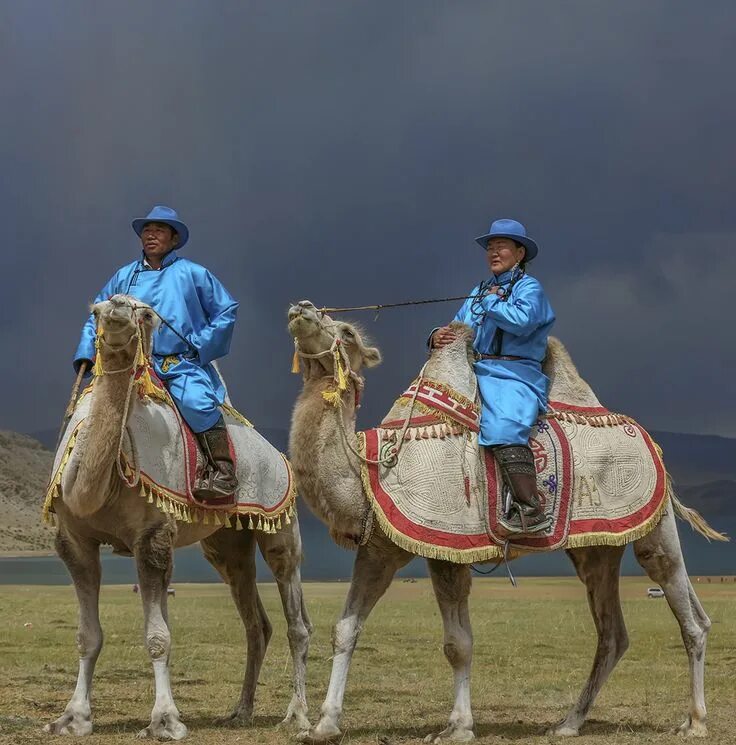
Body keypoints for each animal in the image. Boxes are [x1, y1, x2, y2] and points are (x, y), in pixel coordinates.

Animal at [45, 294, 310, 740]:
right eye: (98, 308)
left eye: (143, 312)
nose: (119, 309)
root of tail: (276, 453)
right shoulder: (74, 540)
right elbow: (87, 636)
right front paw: (73, 718)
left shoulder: (152, 535)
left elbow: (158, 638)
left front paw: (165, 721)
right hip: (226, 545)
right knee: (256, 623)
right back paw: (240, 711)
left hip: (280, 520)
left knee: (295, 617)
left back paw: (298, 715)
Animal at [288, 300, 724, 740]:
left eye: (346, 332)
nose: (302, 308)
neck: (367, 469)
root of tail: (651, 443)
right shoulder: (379, 550)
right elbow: (345, 629)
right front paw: (324, 724)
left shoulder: (448, 548)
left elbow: (457, 644)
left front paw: (458, 728)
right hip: (599, 546)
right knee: (612, 633)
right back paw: (568, 723)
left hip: (654, 519)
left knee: (687, 611)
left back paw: (696, 721)